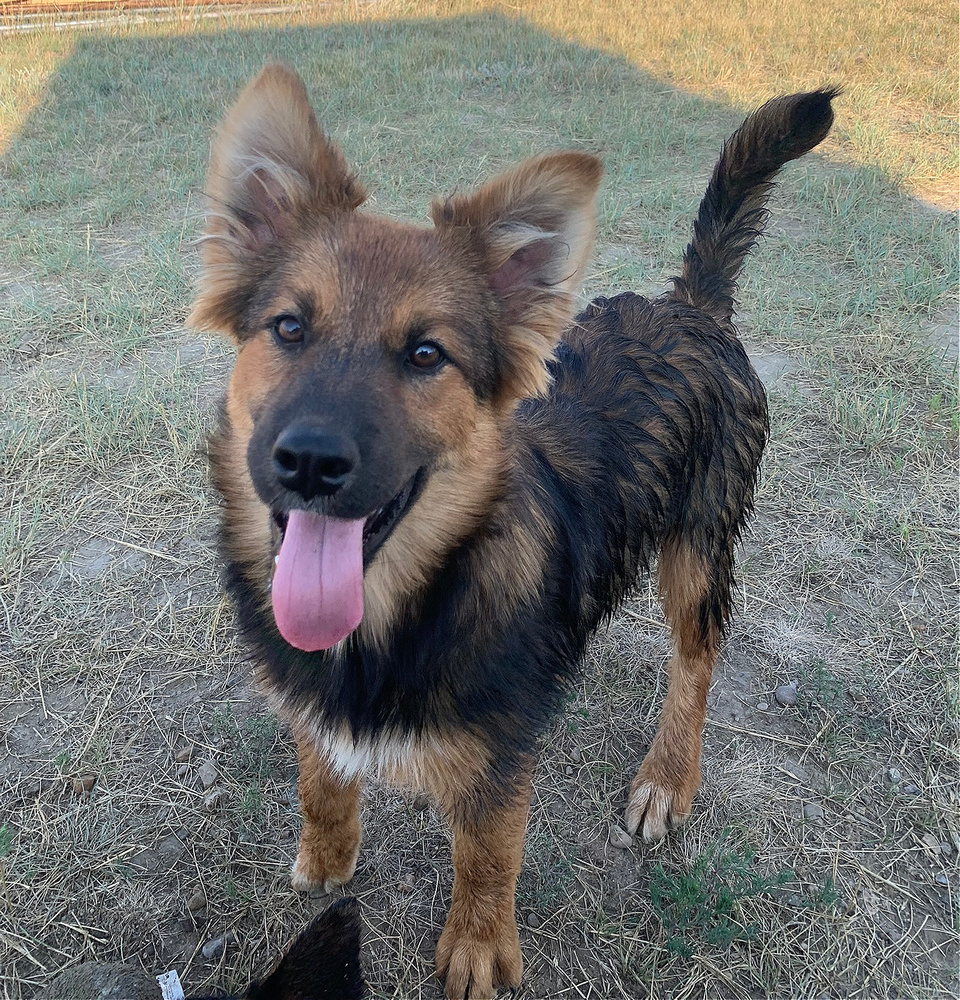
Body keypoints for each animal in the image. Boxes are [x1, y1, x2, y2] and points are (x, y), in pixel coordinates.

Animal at [191, 66, 836, 996]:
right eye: (288, 328)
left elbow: (488, 851)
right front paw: (329, 853)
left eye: (427, 355)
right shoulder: (311, 700)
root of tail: (690, 308)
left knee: (697, 660)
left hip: (699, 544)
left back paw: (667, 778)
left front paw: (477, 945)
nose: (308, 461)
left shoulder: (498, 754)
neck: (401, 610)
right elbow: (320, 777)